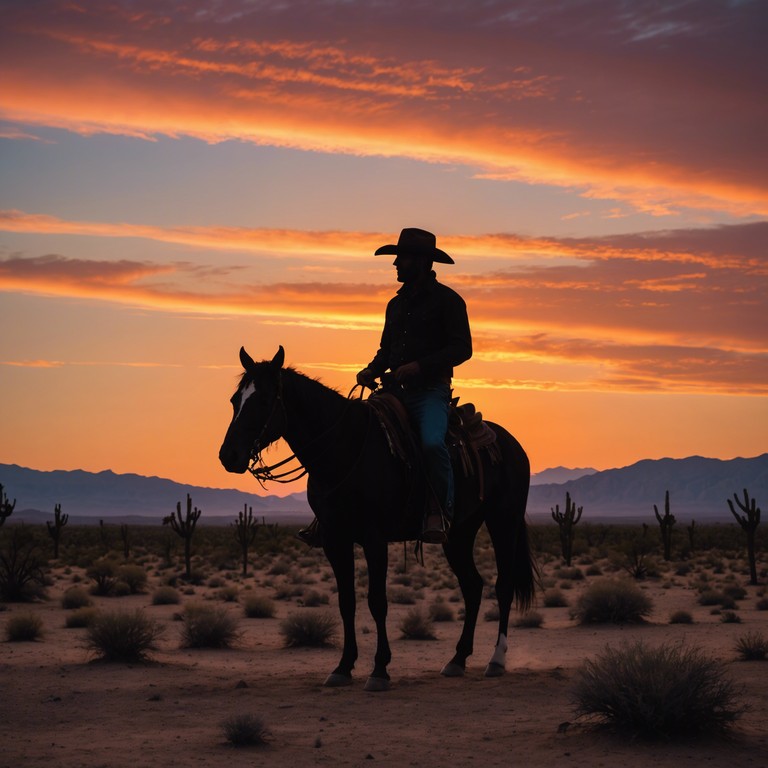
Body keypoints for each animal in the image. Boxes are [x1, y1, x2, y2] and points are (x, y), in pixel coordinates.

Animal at [219, 346, 536, 688]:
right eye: (234, 400)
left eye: (264, 400)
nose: (228, 456)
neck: (343, 451)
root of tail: (512, 444)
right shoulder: (335, 540)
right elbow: (347, 602)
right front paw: (343, 666)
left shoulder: (374, 539)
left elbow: (377, 601)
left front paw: (380, 669)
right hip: (459, 534)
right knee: (473, 586)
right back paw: (457, 659)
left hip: (504, 521)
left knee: (503, 585)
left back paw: (496, 659)